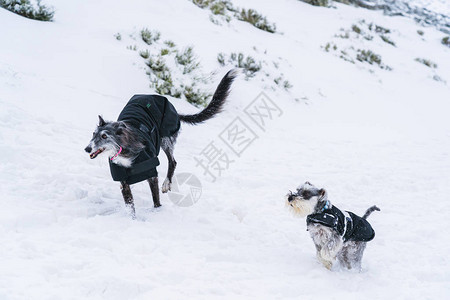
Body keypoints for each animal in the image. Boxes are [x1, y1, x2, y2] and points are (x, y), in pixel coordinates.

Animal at [85, 69, 237, 217]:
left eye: (104, 136)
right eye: (93, 134)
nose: (87, 149)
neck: (125, 151)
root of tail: (174, 111)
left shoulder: (152, 173)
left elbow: (156, 199)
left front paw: (157, 213)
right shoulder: (123, 181)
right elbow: (130, 206)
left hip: (166, 140)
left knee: (173, 161)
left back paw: (166, 183)